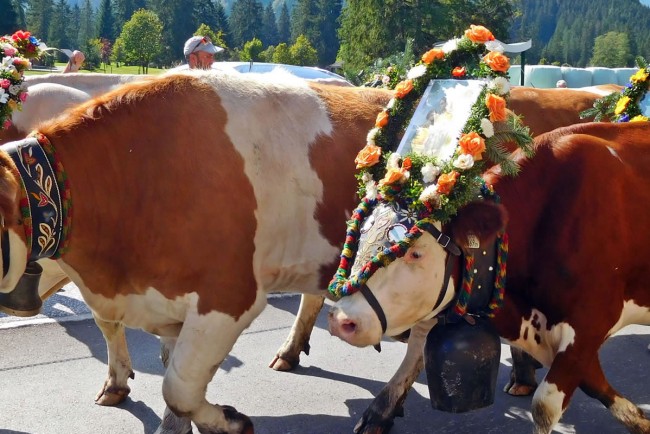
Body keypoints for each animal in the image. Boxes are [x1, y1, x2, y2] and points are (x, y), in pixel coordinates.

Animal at [0, 69, 394, 432]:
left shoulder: (229, 299)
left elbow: (179, 388)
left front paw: (229, 422)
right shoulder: (159, 301)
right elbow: (161, 364)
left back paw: (382, 410)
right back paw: (291, 351)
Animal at [330, 121, 648, 434]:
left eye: (415, 253)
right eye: (358, 236)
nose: (342, 320)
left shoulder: (591, 321)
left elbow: (545, 406)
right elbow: (597, 387)